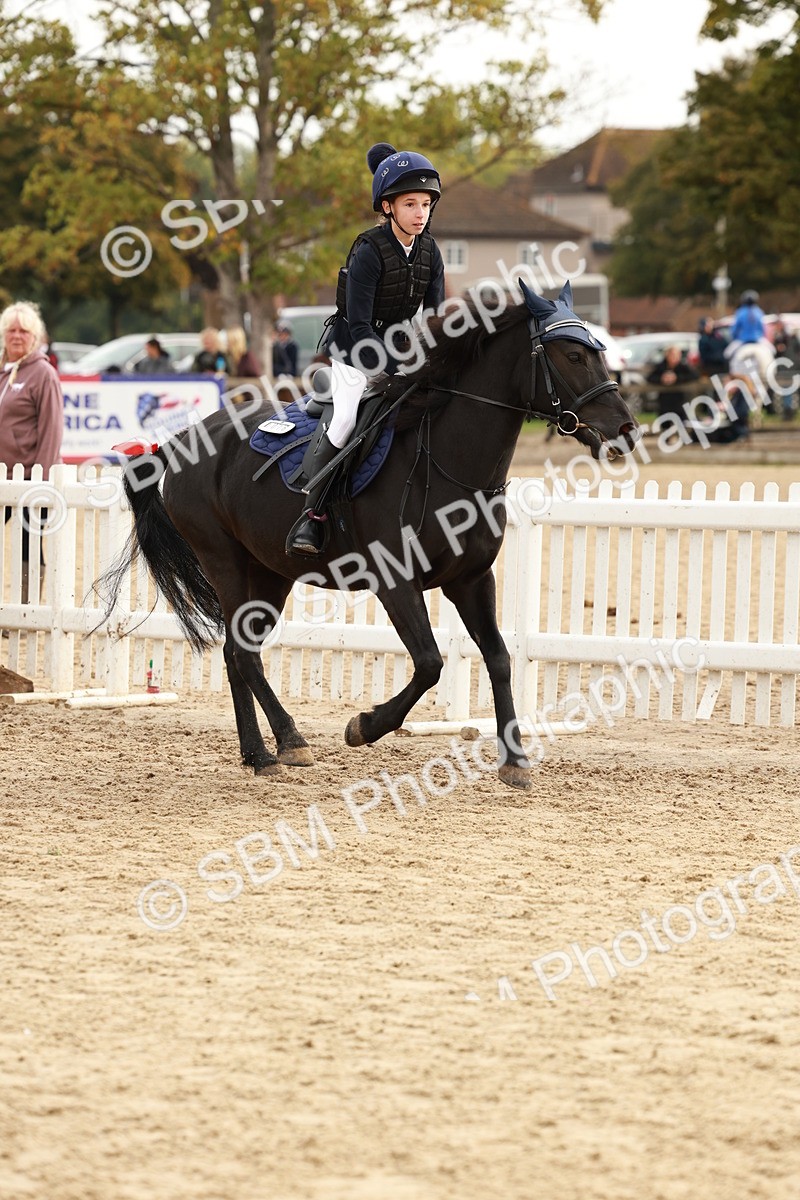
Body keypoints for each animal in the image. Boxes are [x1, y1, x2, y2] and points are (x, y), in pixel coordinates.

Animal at [102, 281, 638, 791]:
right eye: (573, 356)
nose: (627, 429)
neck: (449, 461)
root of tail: (178, 443)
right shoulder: (395, 582)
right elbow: (429, 663)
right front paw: (365, 726)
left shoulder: (471, 580)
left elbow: (499, 658)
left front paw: (515, 760)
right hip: (224, 561)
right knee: (245, 653)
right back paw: (289, 742)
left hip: (270, 573)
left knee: (238, 652)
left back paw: (259, 753)